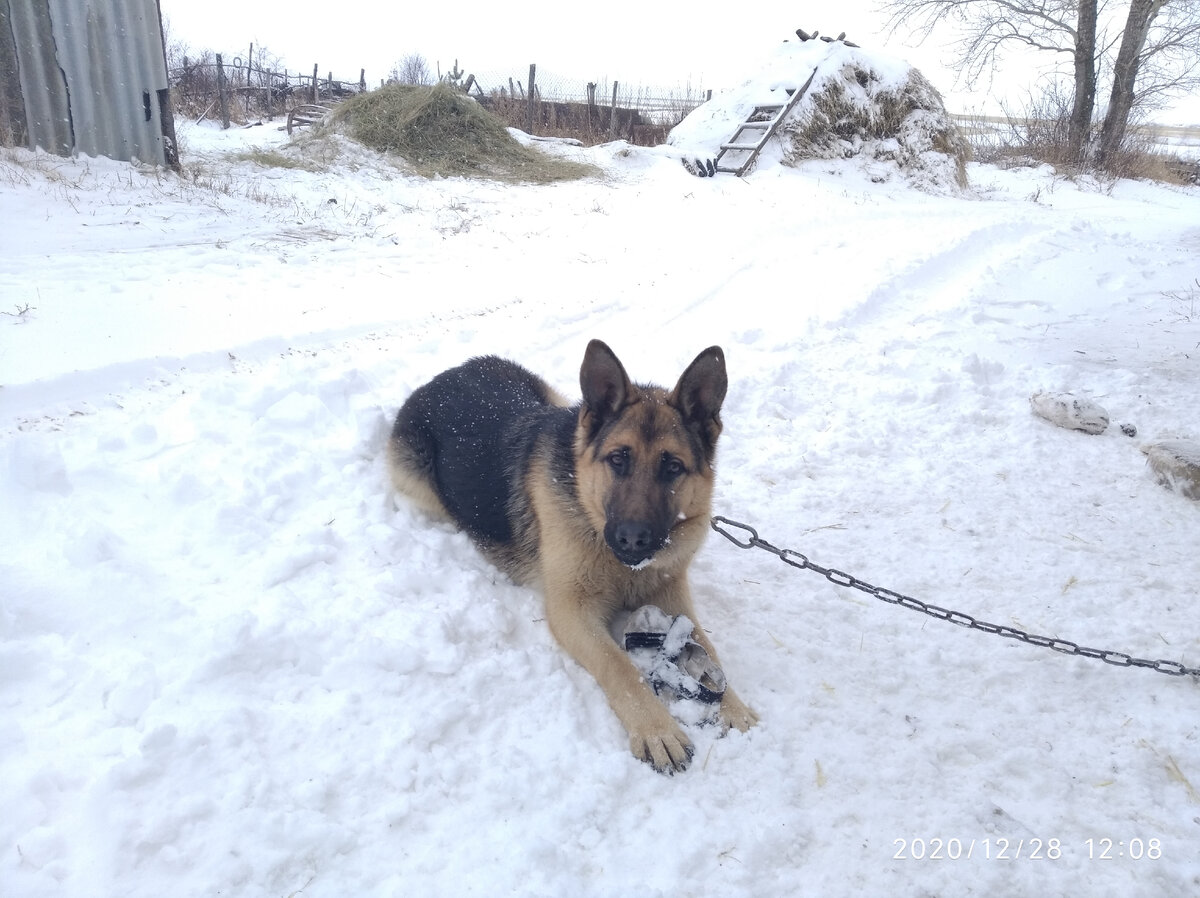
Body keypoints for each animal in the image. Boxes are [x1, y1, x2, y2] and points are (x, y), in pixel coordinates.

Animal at [388, 340, 753, 768]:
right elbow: (619, 666)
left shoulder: (672, 596)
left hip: (559, 399)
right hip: (420, 482)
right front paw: (656, 729)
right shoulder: (571, 612)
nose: (632, 540)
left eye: (673, 467)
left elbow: (708, 647)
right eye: (618, 459)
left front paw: (733, 706)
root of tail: (446, 375)